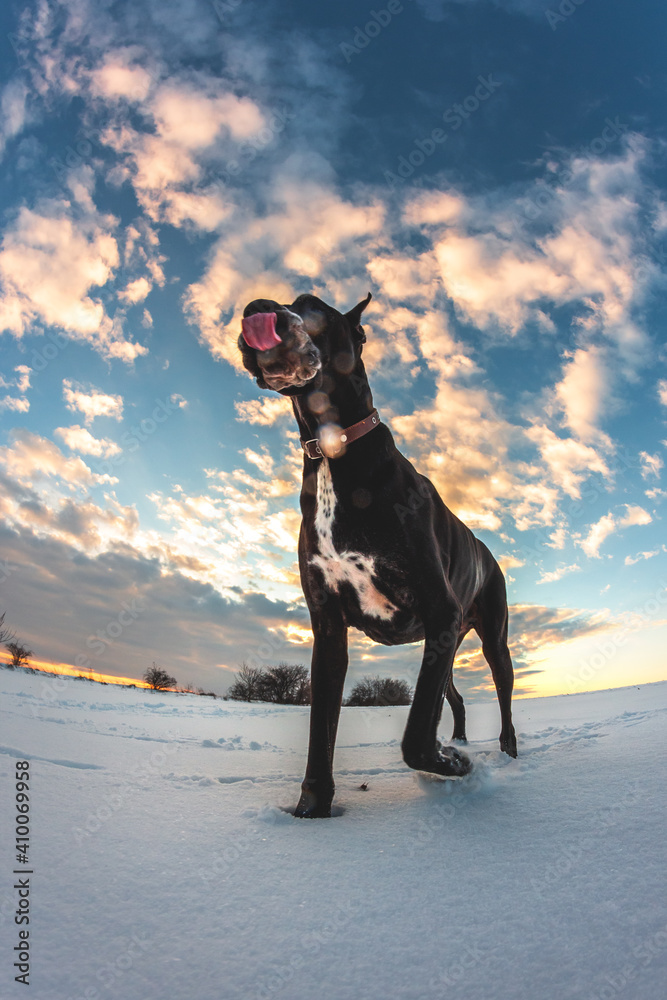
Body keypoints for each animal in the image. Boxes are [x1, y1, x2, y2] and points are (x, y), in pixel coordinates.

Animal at [237, 292, 520, 816]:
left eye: (312, 305)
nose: (255, 307)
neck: (333, 453)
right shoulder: (328, 627)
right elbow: (321, 733)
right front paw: (311, 811)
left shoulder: (439, 607)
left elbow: (414, 738)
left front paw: (454, 764)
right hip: (446, 646)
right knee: (452, 698)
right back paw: (459, 740)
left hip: (491, 638)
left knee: (502, 698)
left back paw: (506, 755)